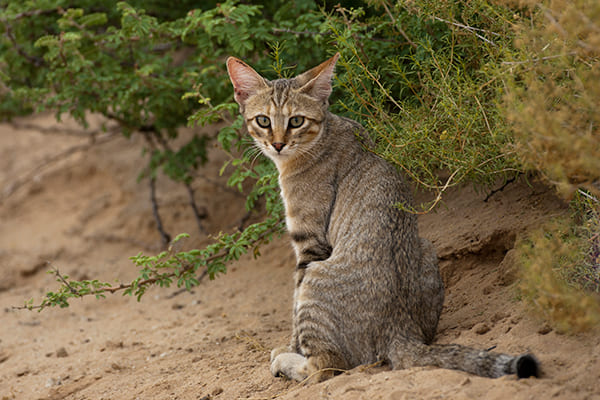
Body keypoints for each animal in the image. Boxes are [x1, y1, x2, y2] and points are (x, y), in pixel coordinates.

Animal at [225, 52, 540, 382]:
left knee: (325, 365)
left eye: (296, 121)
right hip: (425, 247)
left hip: (317, 276)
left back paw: (285, 361)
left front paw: (289, 347)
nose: (277, 144)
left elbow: (295, 312)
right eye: (263, 120)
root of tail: (400, 330)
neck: (323, 133)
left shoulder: (309, 244)